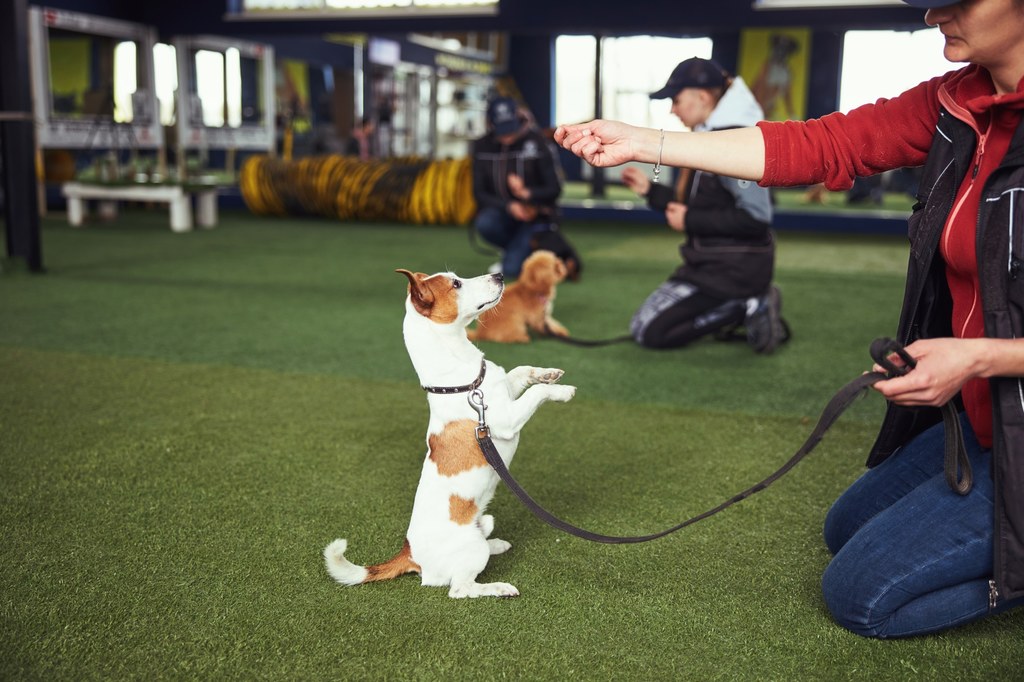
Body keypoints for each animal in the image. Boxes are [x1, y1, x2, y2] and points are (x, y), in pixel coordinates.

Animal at [323, 266, 573, 593]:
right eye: (456, 284)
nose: (500, 276)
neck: (463, 380)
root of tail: (410, 554)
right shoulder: (507, 420)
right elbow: (537, 394)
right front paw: (563, 391)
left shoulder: (505, 390)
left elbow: (521, 372)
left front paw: (548, 374)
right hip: (470, 552)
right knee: (460, 588)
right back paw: (498, 587)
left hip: (484, 521)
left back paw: (496, 544)